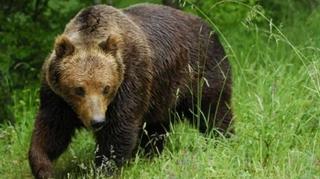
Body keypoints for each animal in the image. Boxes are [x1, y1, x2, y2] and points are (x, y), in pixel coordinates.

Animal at [28, 3, 232, 179]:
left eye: (106, 88)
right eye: (79, 89)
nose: (97, 121)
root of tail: (209, 28)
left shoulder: (130, 79)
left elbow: (119, 129)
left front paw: (104, 168)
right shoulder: (57, 97)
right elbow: (52, 130)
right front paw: (43, 167)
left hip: (200, 71)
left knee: (213, 110)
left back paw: (222, 139)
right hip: (161, 95)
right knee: (156, 127)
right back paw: (152, 155)